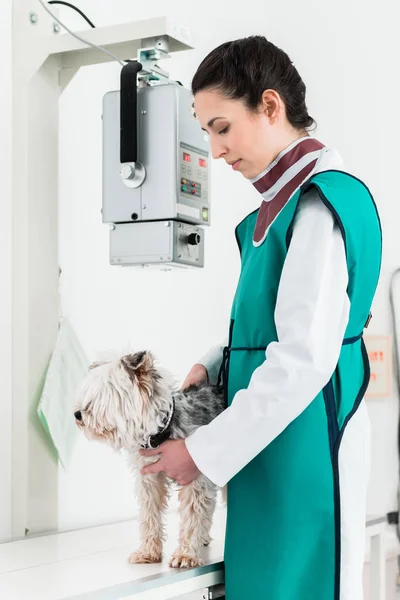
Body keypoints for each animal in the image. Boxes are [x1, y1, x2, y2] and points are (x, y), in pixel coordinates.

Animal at [73, 350, 225, 568]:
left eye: (106, 393)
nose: (77, 414)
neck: (161, 432)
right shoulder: (149, 479)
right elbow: (149, 515)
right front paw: (148, 552)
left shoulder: (195, 477)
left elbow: (192, 516)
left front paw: (185, 554)